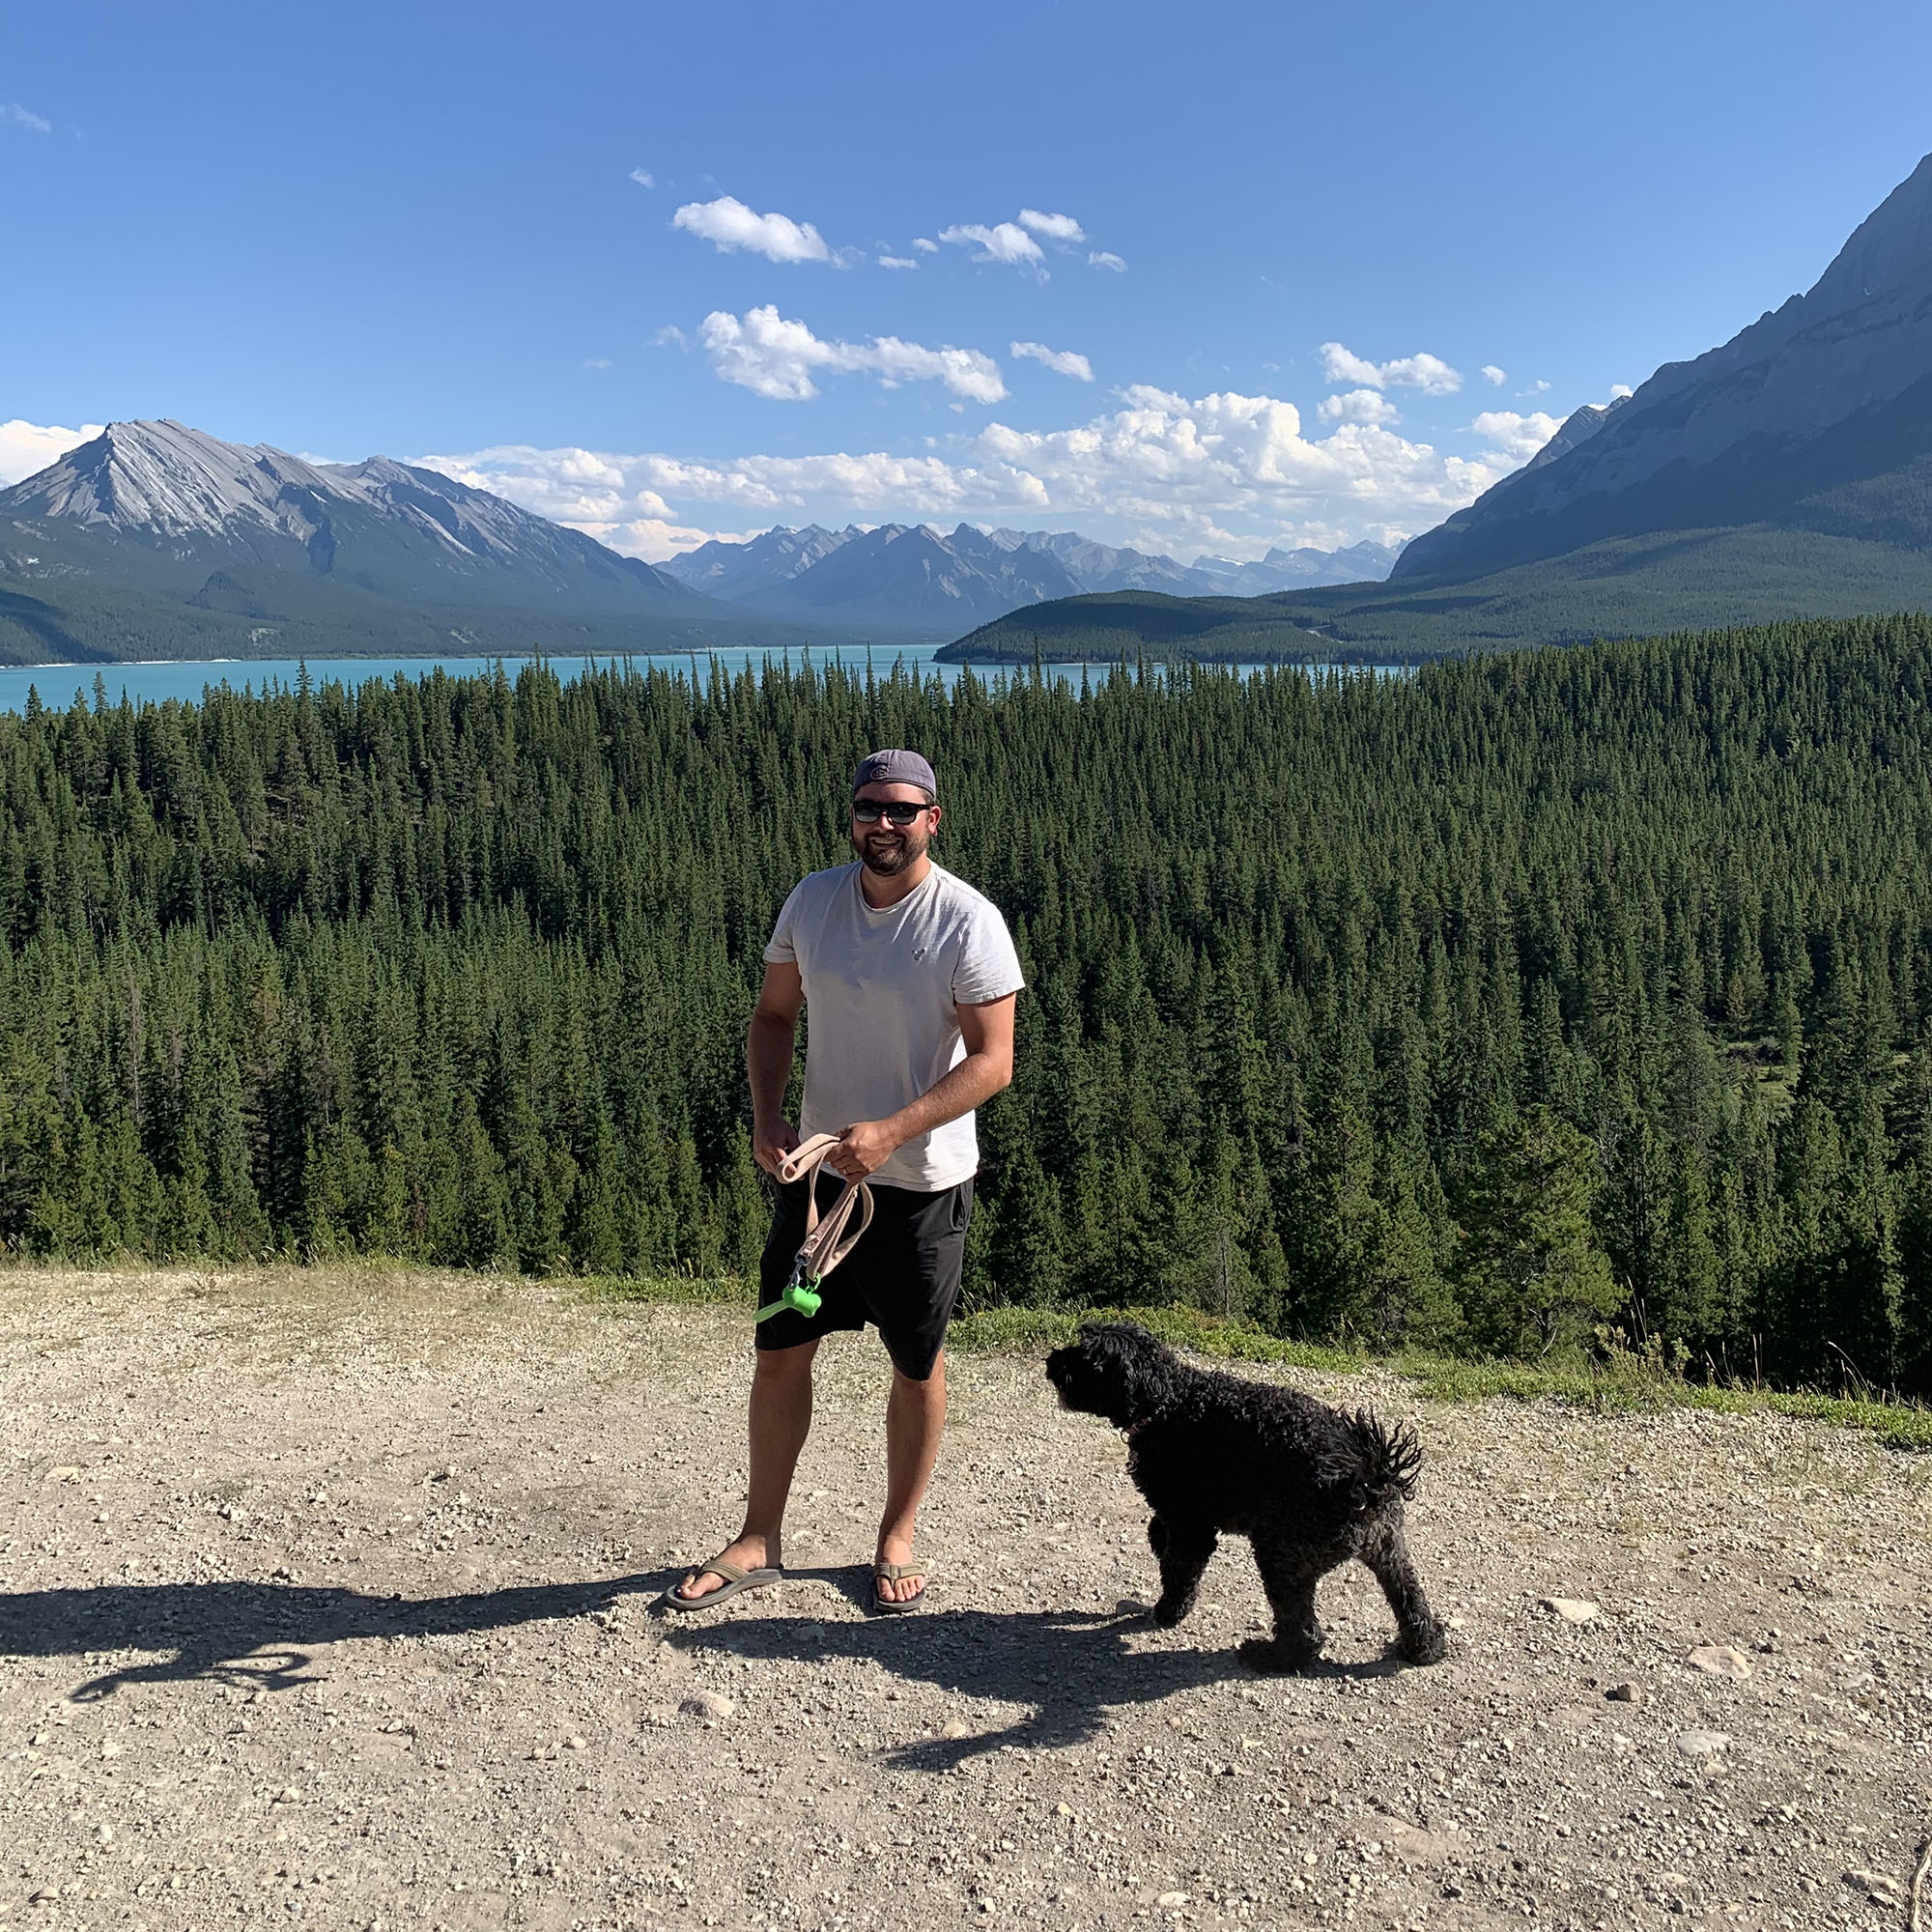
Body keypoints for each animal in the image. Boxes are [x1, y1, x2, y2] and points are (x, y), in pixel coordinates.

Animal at [1051, 1321, 1445, 1669]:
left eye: (1086, 1357)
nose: (1051, 1361)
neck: (1168, 1402)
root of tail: (1362, 1473)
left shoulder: (1191, 1526)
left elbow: (1179, 1572)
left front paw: (1167, 1612)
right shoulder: (1179, 1516)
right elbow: (1160, 1535)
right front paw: (1157, 1544)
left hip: (1280, 1553)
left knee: (1304, 1631)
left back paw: (1270, 1657)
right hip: (1389, 1552)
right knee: (1413, 1604)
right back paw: (1422, 1648)